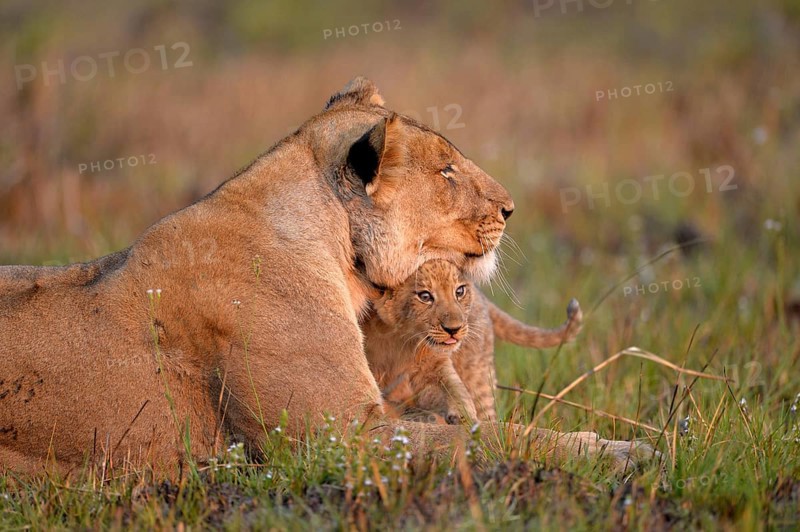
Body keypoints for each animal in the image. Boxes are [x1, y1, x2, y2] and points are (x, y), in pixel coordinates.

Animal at [364, 259, 583, 425]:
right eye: (425, 296)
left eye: (459, 291)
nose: (454, 329)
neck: (398, 336)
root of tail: (482, 297)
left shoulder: (434, 365)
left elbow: (452, 387)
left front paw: (464, 415)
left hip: (478, 374)